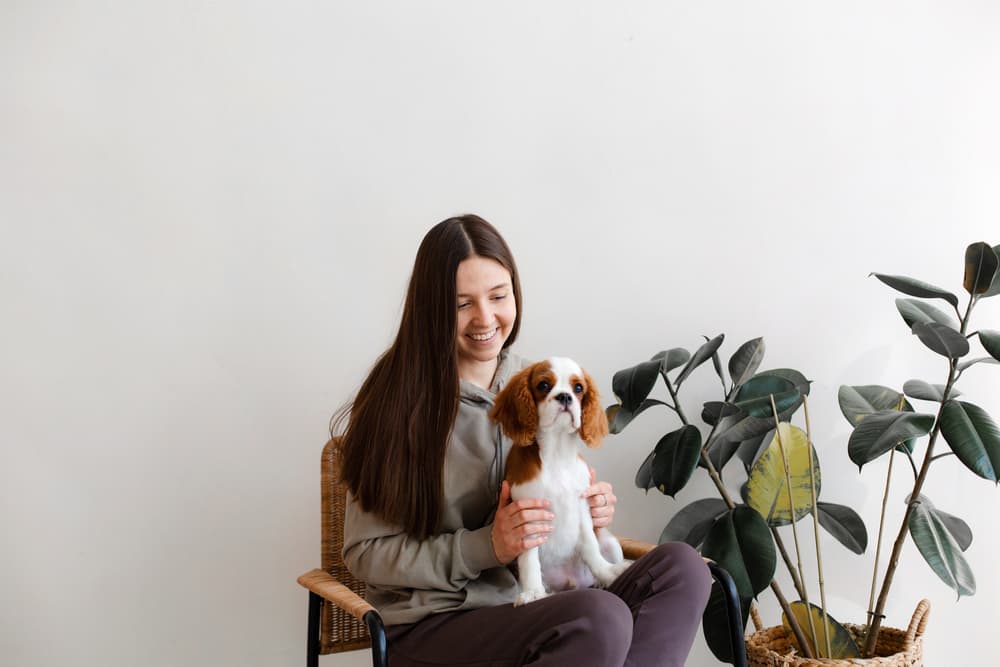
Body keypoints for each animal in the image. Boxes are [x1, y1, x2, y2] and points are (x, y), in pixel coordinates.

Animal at [488, 358, 628, 608]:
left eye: (578, 388)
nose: (564, 397)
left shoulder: (582, 506)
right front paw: (533, 592)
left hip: (610, 541)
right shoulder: (527, 515)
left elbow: (590, 545)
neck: (556, 452)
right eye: (543, 385)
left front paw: (606, 571)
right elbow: (529, 559)